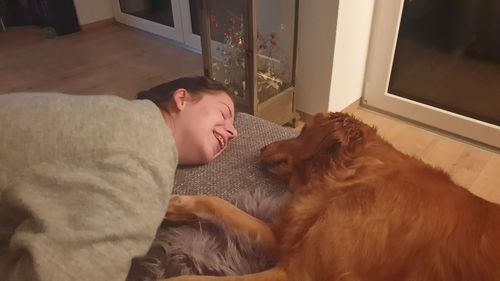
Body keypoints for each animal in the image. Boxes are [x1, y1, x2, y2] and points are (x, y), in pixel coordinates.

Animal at [165, 111, 500, 280]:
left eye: (303, 130)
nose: (262, 147)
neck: (355, 175)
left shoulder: (298, 274)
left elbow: (190, 278)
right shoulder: (288, 239)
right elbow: (222, 205)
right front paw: (176, 206)